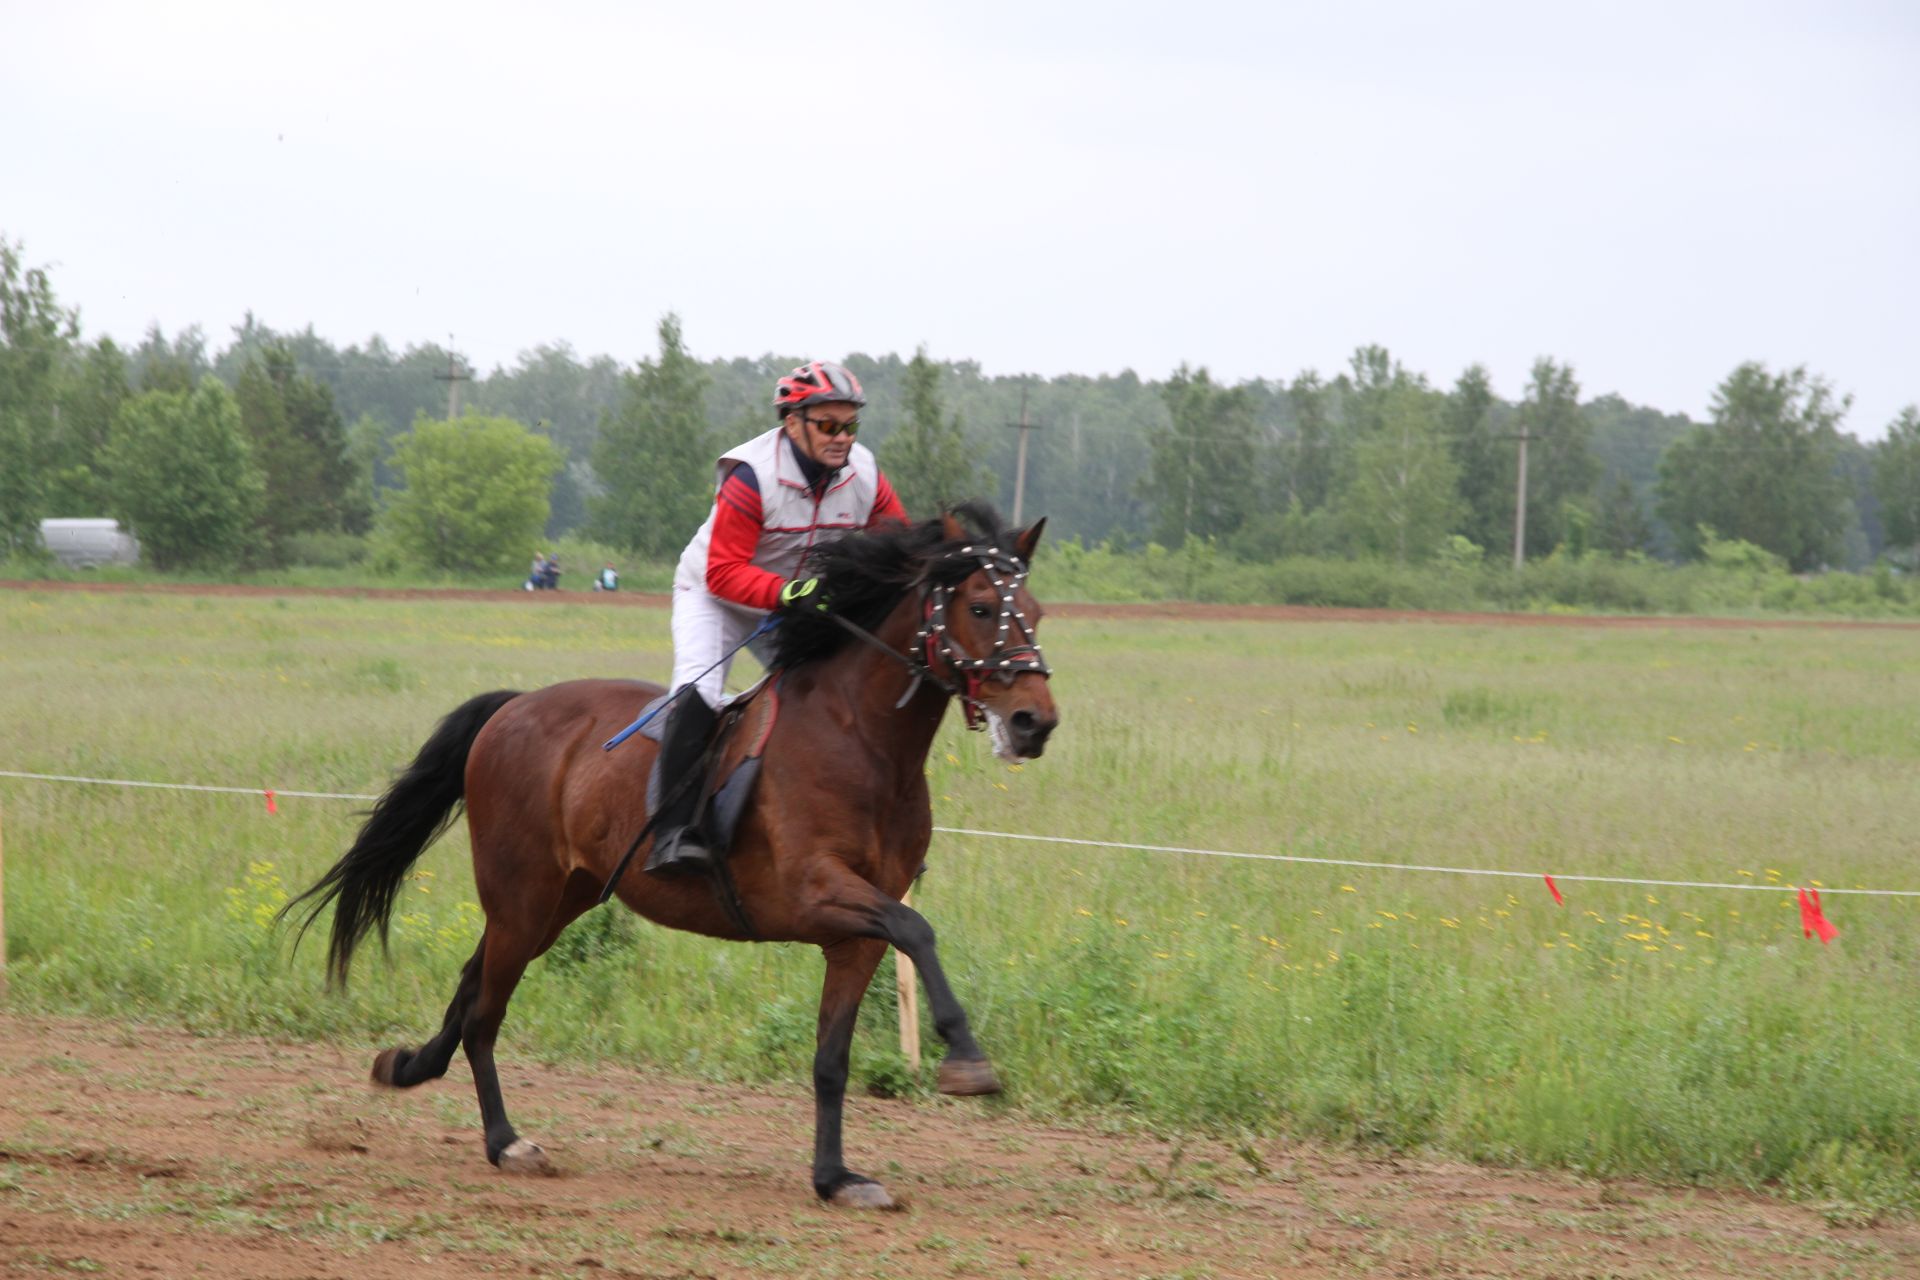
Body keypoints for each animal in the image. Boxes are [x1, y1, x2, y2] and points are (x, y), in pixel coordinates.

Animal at [280, 506, 1067, 1205]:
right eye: (982, 605)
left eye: (1035, 609)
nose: (1035, 722)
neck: (865, 744)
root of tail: (513, 706)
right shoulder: (818, 890)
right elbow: (919, 931)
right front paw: (966, 1059)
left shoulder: (854, 935)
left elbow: (832, 1057)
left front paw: (835, 1177)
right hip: (521, 898)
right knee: (484, 1010)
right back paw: (505, 1140)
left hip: (557, 901)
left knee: (474, 983)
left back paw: (410, 1065)